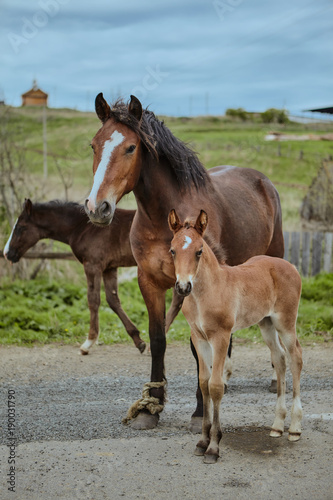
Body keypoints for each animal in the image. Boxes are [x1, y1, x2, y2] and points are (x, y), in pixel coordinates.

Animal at [2, 197, 180, 354]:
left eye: (20, 227)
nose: (7, 253)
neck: (81, 227)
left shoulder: (92, 266)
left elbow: (93, 300)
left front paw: (88, 342)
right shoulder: (109, 268)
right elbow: (113, 301)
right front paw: (138, 341)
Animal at [84, 94, 284, 430]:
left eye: (131, 147)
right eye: (94, 145)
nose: (97, 208)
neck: (166, 219)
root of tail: (263, 182)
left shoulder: (195, 285)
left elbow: (196, 346)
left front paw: (201, 410)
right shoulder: (150, 282)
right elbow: (158, 339)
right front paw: (151, 407)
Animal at [167, 209, 302, 462]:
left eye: (199, 251)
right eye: (172, 250)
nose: (183, 287)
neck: (206, 292)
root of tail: (290, 265)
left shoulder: (221, 337)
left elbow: (216, 385)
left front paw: (213, 447)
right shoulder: (199, 338)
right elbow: (203, 383)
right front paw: (202, 441)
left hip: (286, 323)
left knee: (296, 357)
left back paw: (295, 429)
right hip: (266, 323)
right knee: (279, 359)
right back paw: (277, 426)